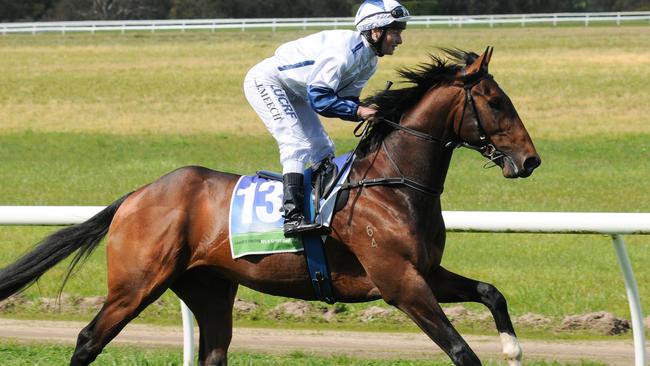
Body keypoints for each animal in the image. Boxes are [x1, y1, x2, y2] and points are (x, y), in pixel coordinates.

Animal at [0, 47, 540, 364]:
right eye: (496, 102)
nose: (530, 160)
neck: (392, 184)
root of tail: (136, 196)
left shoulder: (425, 271)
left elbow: (491, 292)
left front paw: (513, 347)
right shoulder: (399, 282)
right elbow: (460, 350)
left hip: (210, 290)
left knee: (212, 353)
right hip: (136, 285)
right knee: (88, 339)